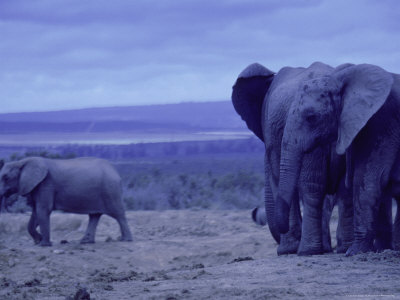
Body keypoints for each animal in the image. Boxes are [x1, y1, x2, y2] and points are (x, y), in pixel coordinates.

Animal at [0, 157, 133, 246]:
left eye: (6, 177)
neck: (22, 162)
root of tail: (115, 171)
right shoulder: (36, 186)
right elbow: (35, 212)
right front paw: (39, 241)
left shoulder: (46, 184)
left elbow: (43, 210)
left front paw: (44, 244)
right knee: (94, 215)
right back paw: (85, 242)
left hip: (111, 190)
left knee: (118, 214)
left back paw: (126, 240)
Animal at [231, 62, 354, 254]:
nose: (255, 211)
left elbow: (278, 175)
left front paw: (287, 250)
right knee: (342, 187)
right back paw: (339, 248)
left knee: (313, 185)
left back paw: (308, 250)